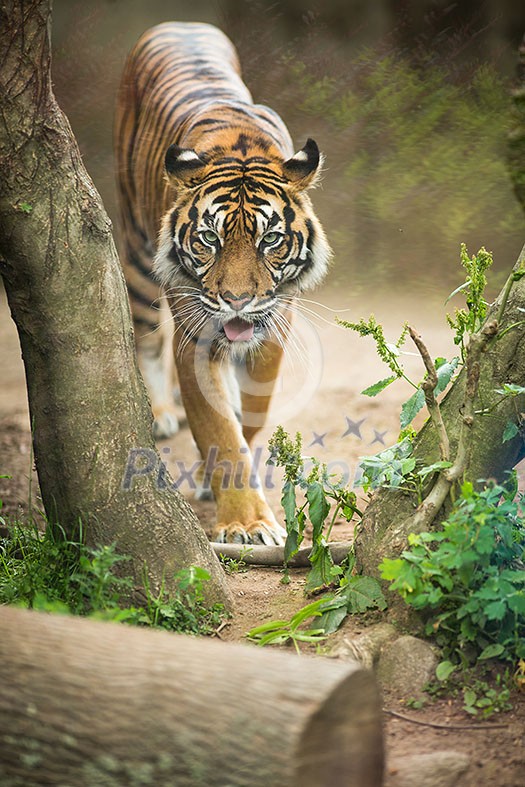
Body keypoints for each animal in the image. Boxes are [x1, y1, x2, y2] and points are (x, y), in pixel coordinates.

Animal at [114, 20, 330, 548]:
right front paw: (248, 525)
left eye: (270, 239)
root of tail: (180, 22)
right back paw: (160, 413)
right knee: (146, 338)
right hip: (136, 256)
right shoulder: (195, 335)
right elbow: (218, 429)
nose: (237, 301)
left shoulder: (273, 330)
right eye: (209, 238)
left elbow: (249, 417)